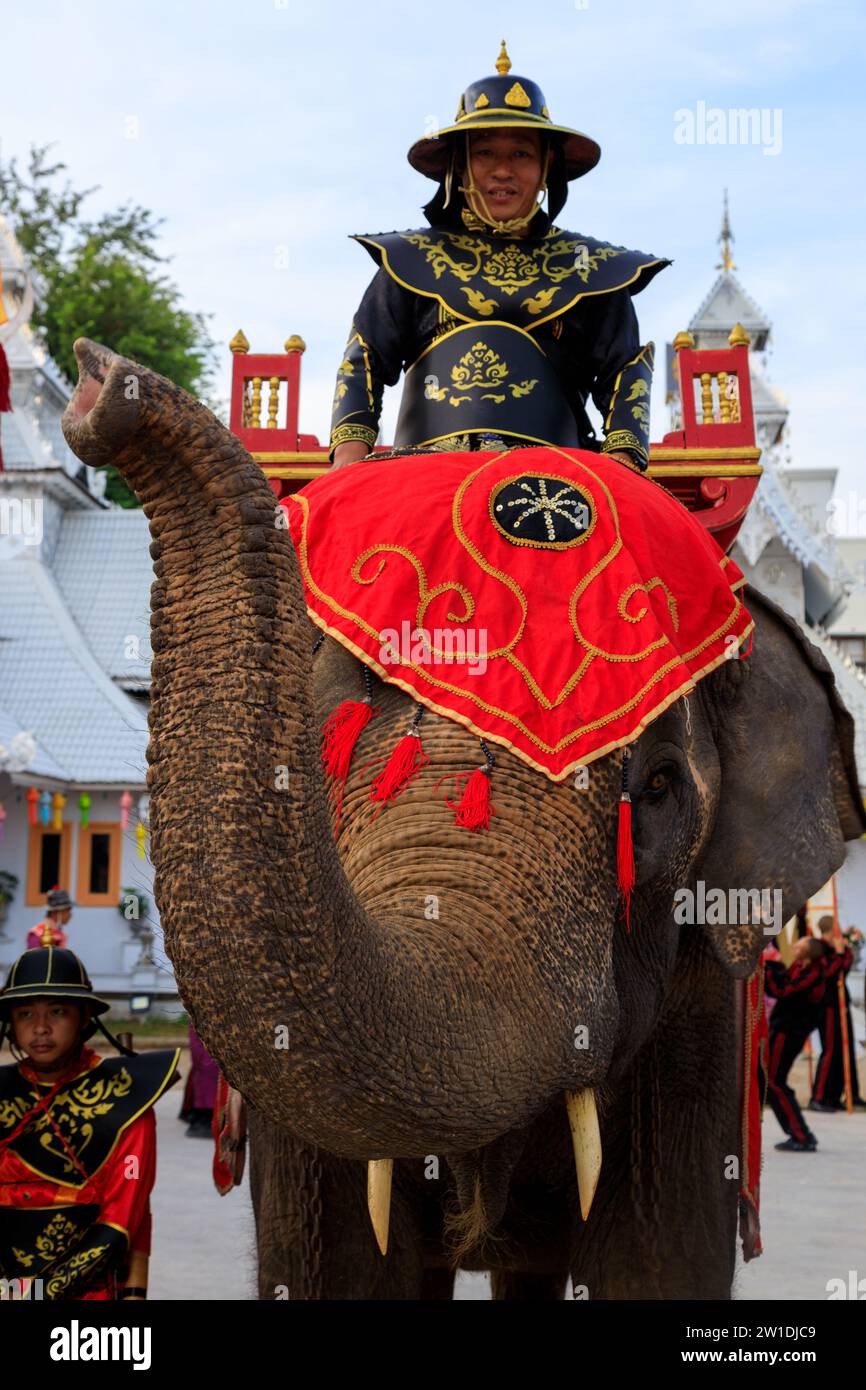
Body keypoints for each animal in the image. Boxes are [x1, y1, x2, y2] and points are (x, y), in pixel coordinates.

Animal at [62, 339, 866, 1301]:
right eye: (318, 756)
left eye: (661, 788)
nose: (99, 382)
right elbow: (337, 1267)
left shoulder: (707, 986)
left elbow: (657, 1258)